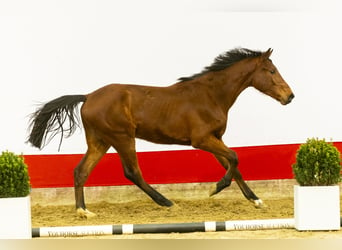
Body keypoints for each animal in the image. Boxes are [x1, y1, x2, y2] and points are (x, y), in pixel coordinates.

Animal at [27, 47, 294, 218]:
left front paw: (256, 200)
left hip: (100, 142)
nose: (289, 96)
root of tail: (88, 96)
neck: (211, 95)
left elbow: (233, 165)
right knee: (132, 173)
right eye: (271, 71)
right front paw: (215, 188)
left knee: (81, 171)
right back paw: (168, 203)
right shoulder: (202, 140)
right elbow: (235, 158)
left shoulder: (215, 138)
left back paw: (83, 211)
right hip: (122, 138)